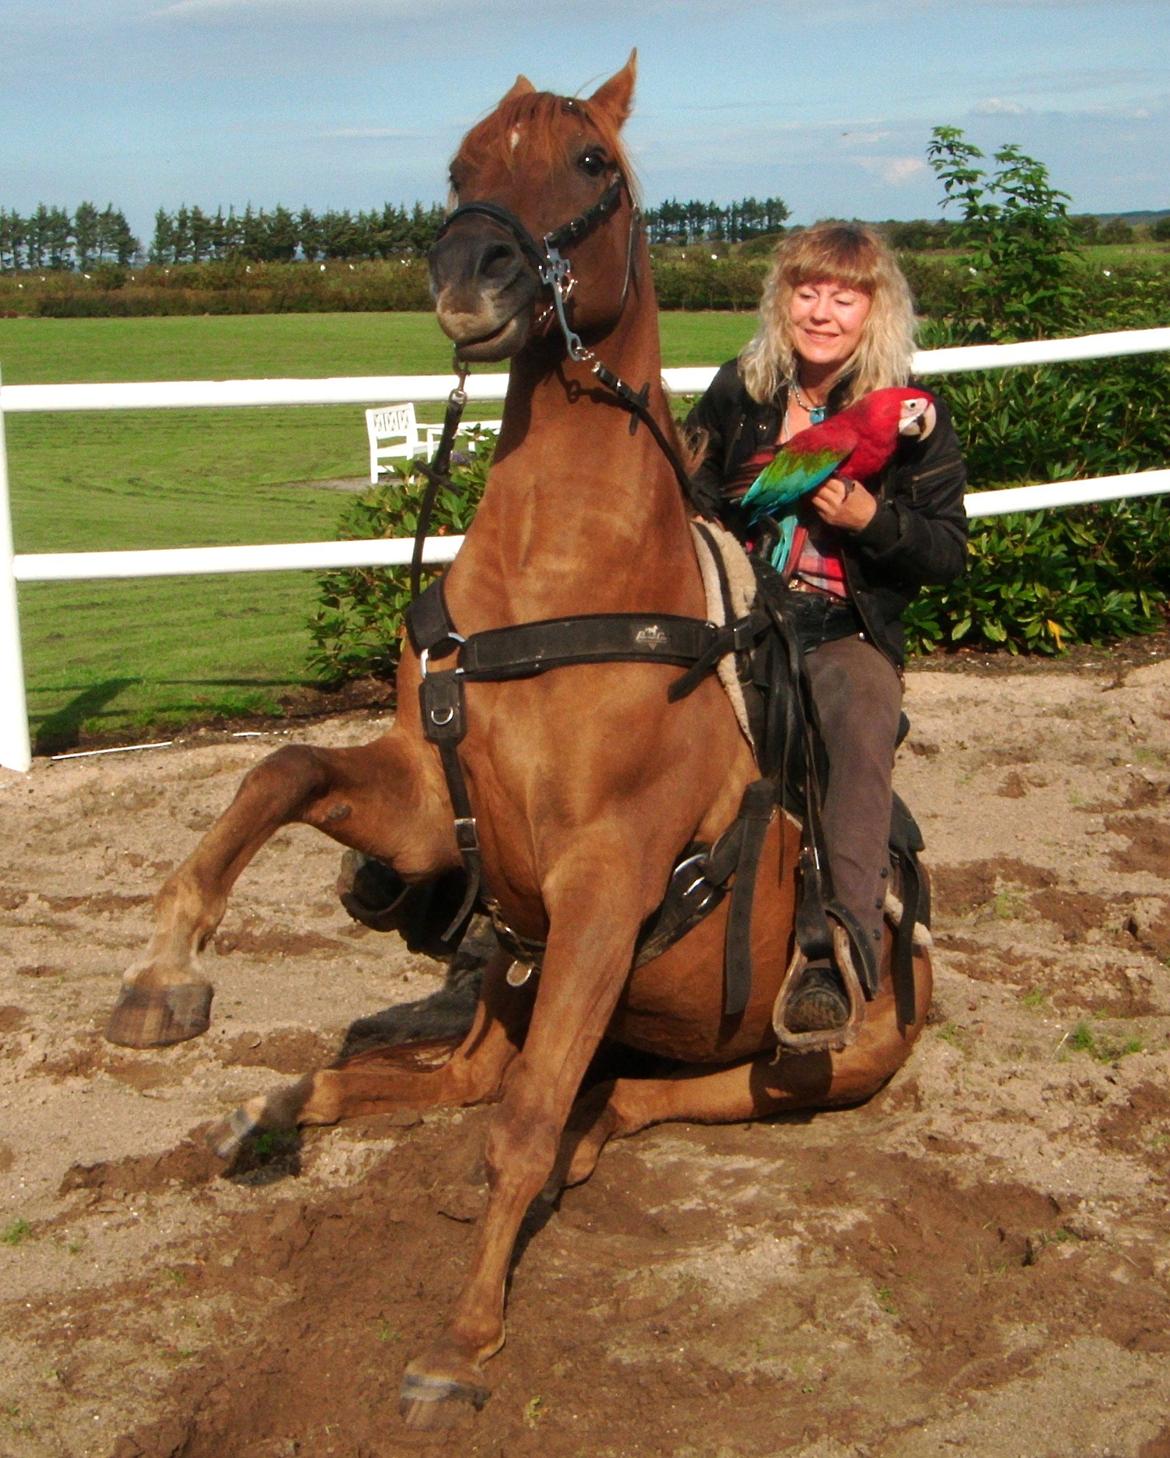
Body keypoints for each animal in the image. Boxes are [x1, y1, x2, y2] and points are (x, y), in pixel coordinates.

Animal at [107, 53, 927, 1423]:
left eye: (591, 163)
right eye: (459, 164)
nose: (468, 274)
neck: (562, 575)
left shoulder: (609, 873)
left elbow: (535, 1110)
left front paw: (463, 1338)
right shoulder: (435, 810)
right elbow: (280, 770)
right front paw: (162, 975)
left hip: (832, 1056)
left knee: (627, 1096)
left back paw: (586, 1137)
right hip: (514, 959)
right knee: (467, 1074)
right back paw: (284, 1103)